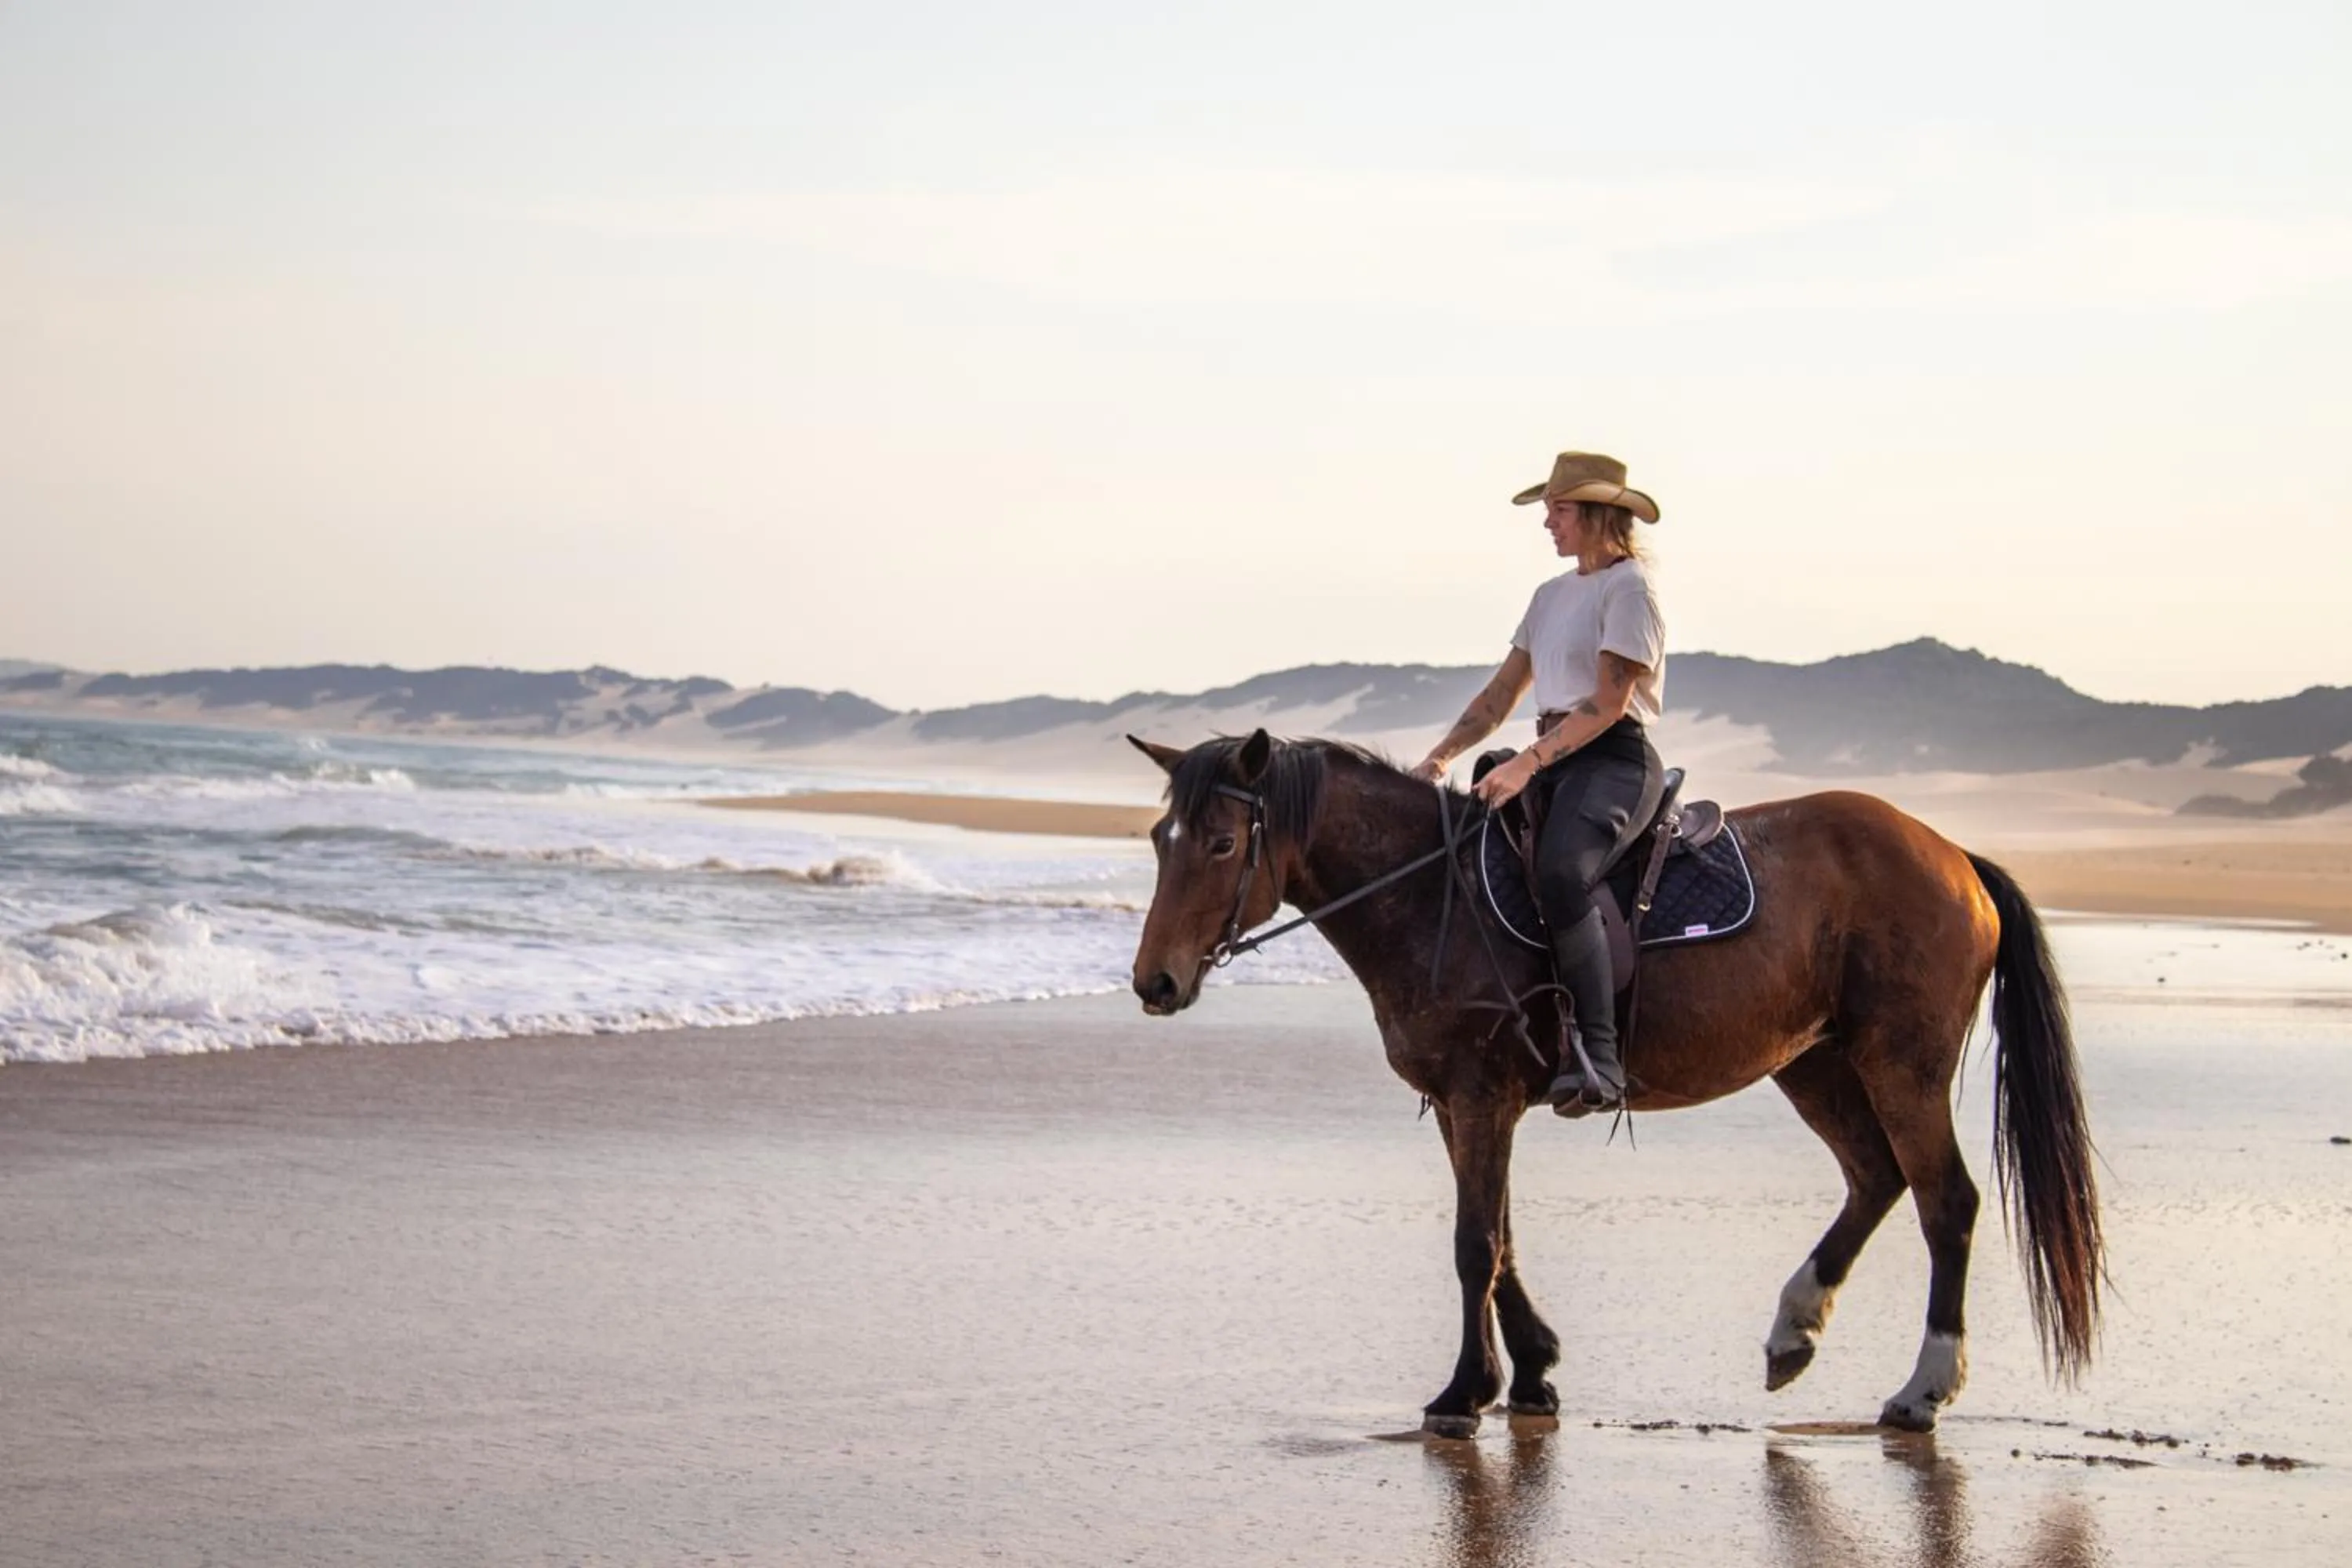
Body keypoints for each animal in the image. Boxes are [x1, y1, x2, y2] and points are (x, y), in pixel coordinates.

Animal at [1125, 729, 2103, 1437]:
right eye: (1160, 841)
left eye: (1222, 843)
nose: (1154, 982)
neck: (1432, 893)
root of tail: (1957, 857)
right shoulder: (1464, 1104)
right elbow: (1501, 1236)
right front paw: (1532, 1371)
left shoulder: (1480, 1097)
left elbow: (1474, 1242)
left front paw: (1464, 1390)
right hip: (1815, 1060)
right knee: (1876, 1177)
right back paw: (1795, 1329)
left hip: (1901, 1059)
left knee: (1946, 1199)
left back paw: (1923, 1387)